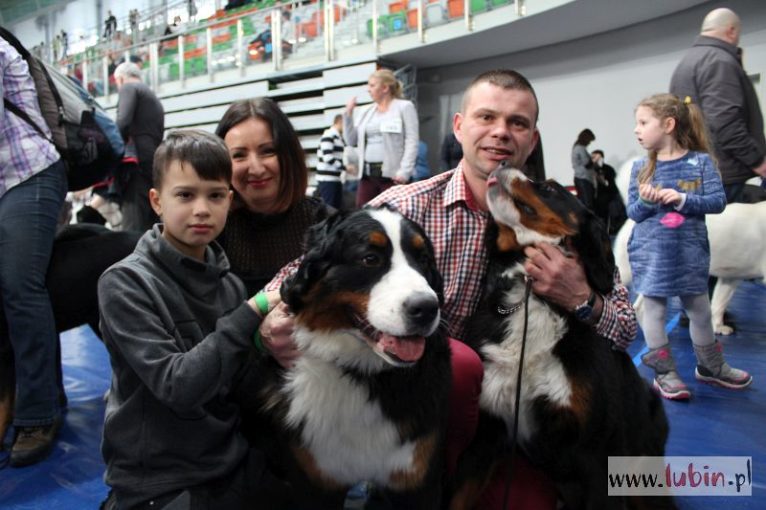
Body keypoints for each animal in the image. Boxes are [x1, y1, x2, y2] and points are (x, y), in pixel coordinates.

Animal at [243, 207, 452, 510]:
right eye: (370, 259)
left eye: (424, 260)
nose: (426, 308)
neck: (360, 371)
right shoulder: (316, 480)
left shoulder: (417, 478)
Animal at [616, 159, 766, 334]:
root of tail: (635, 215)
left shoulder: (730, 277)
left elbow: (718, 304)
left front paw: (717, 328)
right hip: (627, 271)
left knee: (640, 307)